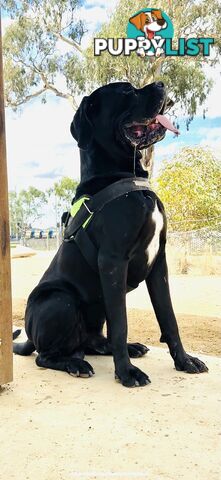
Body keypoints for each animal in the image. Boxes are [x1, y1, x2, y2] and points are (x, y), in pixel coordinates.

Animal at [13, 82, 207, 388]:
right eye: (127, 92)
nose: (163, 84)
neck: (126, 178)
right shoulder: (113, 261)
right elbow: (121, 324)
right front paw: (127, 373)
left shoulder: (159, 263)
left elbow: (169, 317)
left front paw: (184, 361)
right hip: (60, 301)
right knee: (45, 356)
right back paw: (75, 363)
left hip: (96, 308)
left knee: (93, 342)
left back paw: (126, 348)